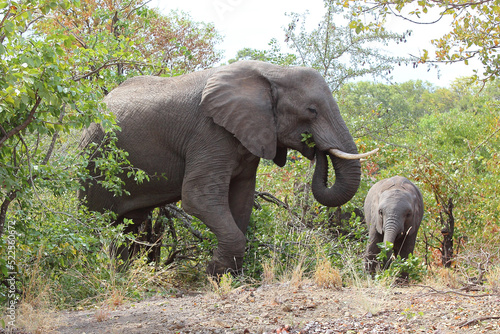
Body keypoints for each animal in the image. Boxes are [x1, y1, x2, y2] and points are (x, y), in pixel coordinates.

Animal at [78, 60, 376, 276]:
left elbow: (242, 199)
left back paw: (122, 272)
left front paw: (232, 275)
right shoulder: (209, 133)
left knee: (129, 224)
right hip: (94, 161)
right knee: (96, 221)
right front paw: (214, 274)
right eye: (311, 111)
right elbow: (198, 197)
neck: (273, 72)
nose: (315, 147)